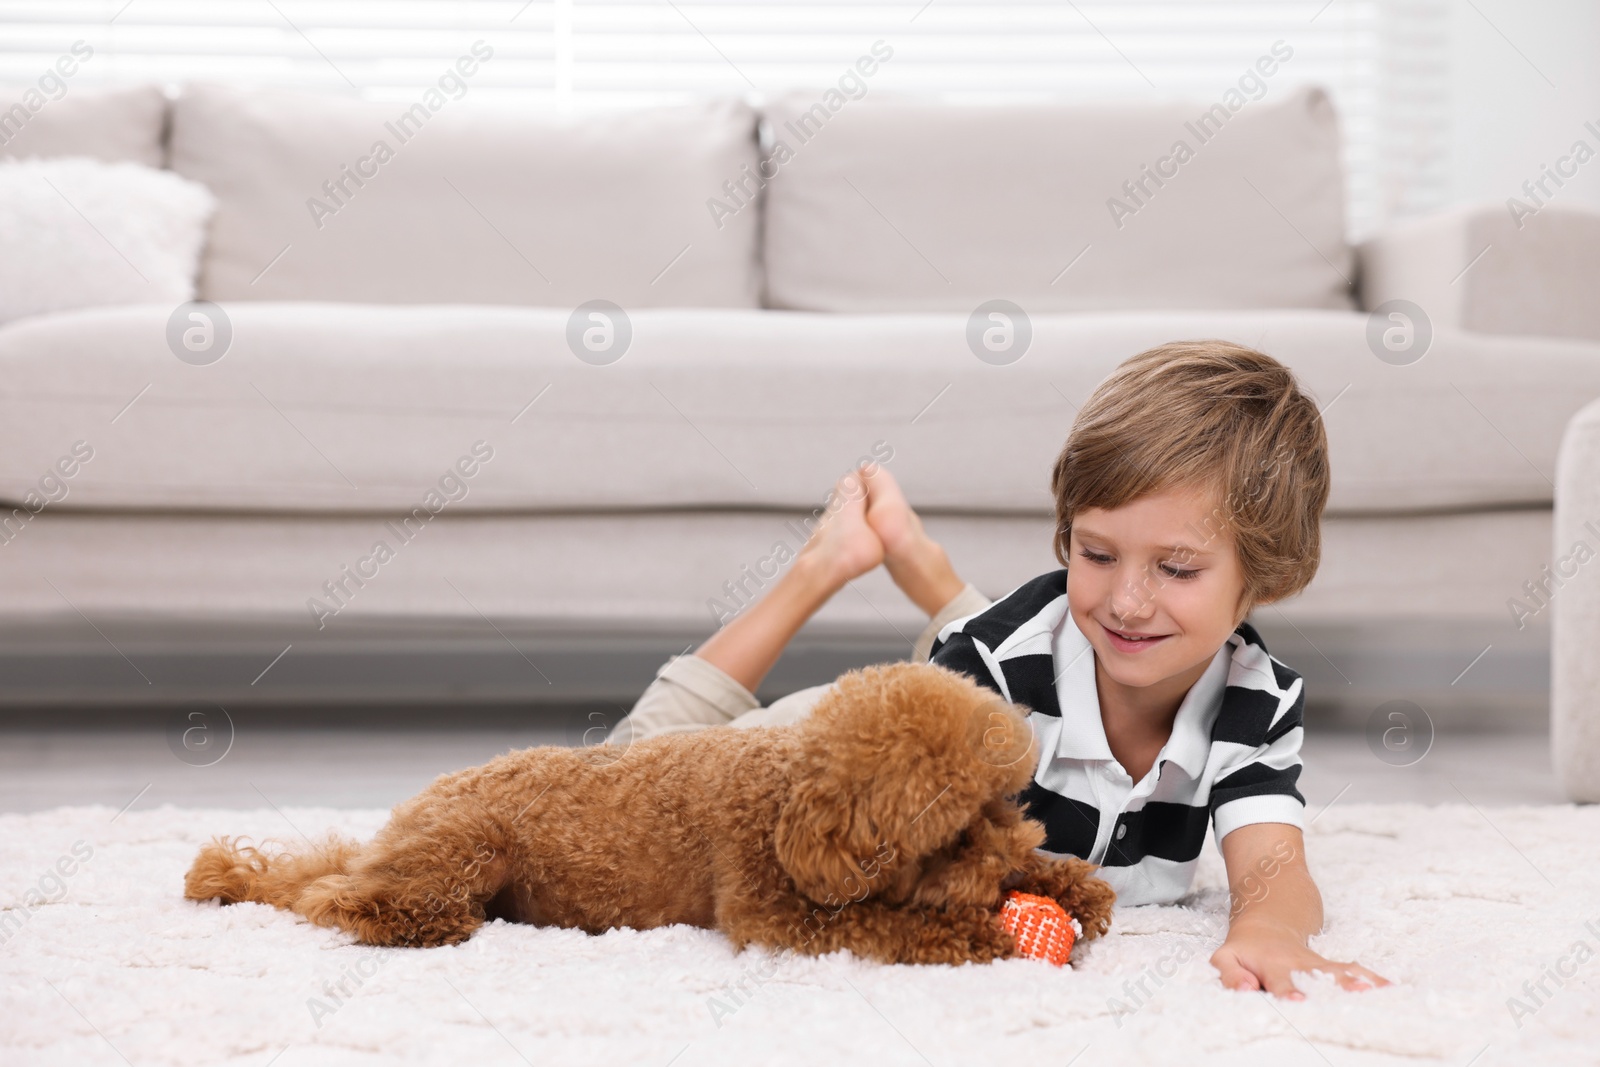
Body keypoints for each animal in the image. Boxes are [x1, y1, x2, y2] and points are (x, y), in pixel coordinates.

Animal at [184, 662, 1113, 966]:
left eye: (1005, 801)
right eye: (949, 836)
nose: (1008, 866)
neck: (786, 798)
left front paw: (1070, 884)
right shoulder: (771, 910)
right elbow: (888, 921)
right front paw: (975, 931)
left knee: (320, 872)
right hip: (469, 845)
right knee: (335, 896)